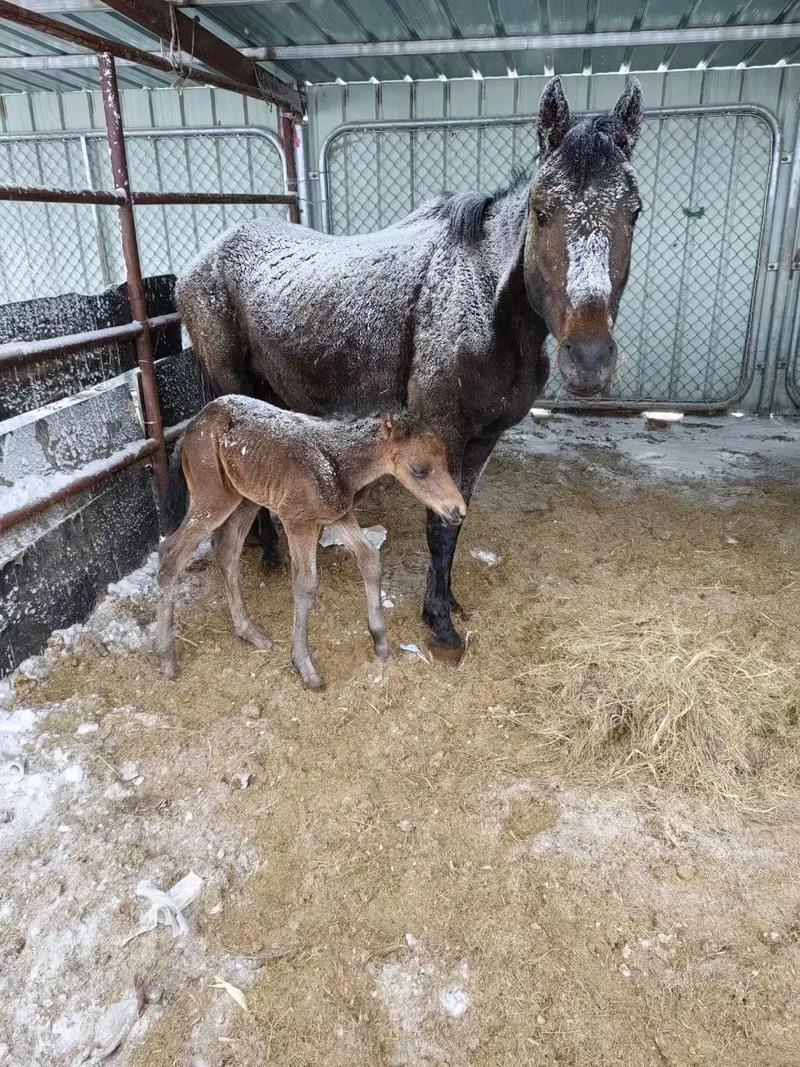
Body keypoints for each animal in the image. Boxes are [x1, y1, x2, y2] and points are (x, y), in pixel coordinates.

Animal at [156, 396, 466, 687]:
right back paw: (167, 658)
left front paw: (381, 644)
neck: (337, 463)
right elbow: (305, 585)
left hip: (244, 498)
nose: (458, 511)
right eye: (419, 470)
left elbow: (370, 559)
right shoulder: (298, 522)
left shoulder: (338, 514)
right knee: (171, 552)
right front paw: (304, 666)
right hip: (213, 497)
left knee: (227, 551)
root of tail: (190, 428)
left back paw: (250, 633)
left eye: (446, 462)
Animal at [175, 76, 644, 657]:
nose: (589, 360)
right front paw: (440, 625)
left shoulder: (483, 439)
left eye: (634, 212)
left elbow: (456, 516)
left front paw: (448, 604)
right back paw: (267, 557)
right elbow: (439, 525)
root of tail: (198, 262)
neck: (485, 303)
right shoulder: (443, 430)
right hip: (230, 384)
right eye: (541, 210)